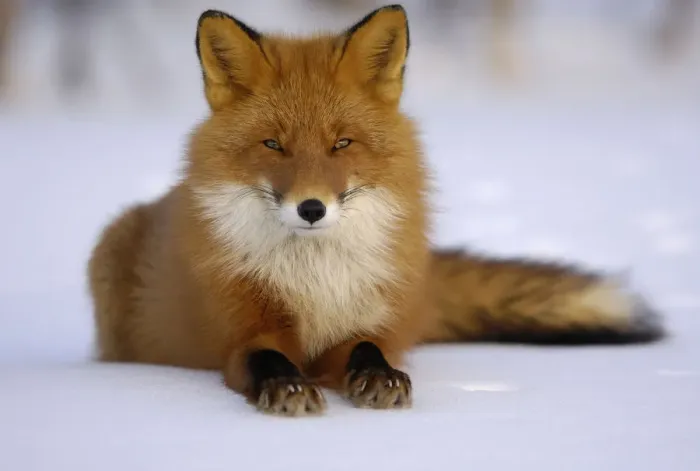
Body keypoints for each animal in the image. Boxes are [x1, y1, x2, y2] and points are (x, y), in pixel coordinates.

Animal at [87, 4, 665, 417]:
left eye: (342, 143)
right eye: (274, 145)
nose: (312, 208)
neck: (314, 277)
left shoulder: (367, 321)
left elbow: (368, 349)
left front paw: (381, 379)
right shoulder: (241, 328)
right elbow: (265, 358)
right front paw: (288, 387)